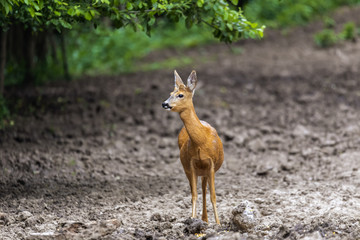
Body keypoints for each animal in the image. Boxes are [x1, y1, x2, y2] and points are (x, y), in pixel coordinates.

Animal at [162, 70, 224, 224]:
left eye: (180, 95)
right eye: (170, 92)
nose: (164, 103)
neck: (201, 142)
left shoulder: (211, 164)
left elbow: (213, 195)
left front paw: (219, 223)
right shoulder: (191, 164)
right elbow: (194, 194)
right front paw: (192, 219)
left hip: (204, 171)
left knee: (204, 189)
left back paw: (206, 220)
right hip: (188, 169)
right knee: (196, 190)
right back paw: (203, 219)